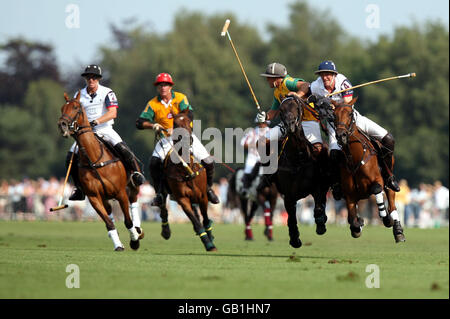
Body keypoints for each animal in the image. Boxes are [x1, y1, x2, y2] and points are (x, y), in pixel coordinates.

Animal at [57, 91, 143, 251]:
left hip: (132, 187)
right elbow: (108, 223)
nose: (62, 125)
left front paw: (134, 241)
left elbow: (128, 221)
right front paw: (118, 245)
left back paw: (138, 230)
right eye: (62, 108)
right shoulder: (94, 197)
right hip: (105, 198)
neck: (94, 159)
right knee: (110, 214)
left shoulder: (121, 193)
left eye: (76, 107)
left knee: (133, 203)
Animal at [158, 110, 216, 252]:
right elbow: (196, 221)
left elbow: (205, 218)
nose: (186, 139)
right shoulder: (182, 199)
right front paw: (207, 243)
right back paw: (166, 231)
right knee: (163, 207)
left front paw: (210, 236)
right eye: (175, 124)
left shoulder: (202, 196)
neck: (186, 169)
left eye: (190, 123)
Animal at [274, 97, 330, 250]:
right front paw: (295, 239)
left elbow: (318, 208)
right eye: (281, 110)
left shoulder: (317, 188)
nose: (290, 124)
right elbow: (291, 217)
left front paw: (321, 224)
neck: (298, 158)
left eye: (297, 107)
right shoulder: (288, 194)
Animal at [332, 100, 406, 242]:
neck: (355, 159)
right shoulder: (349, 194)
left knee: (392, 204)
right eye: (334, 115)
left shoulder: (377, 181)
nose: (341, 135)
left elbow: (377, 190)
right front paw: (358, 224)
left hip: (388, 181)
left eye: (350, 114)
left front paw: (387, 219)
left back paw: (398, 231)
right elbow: (353, 220)